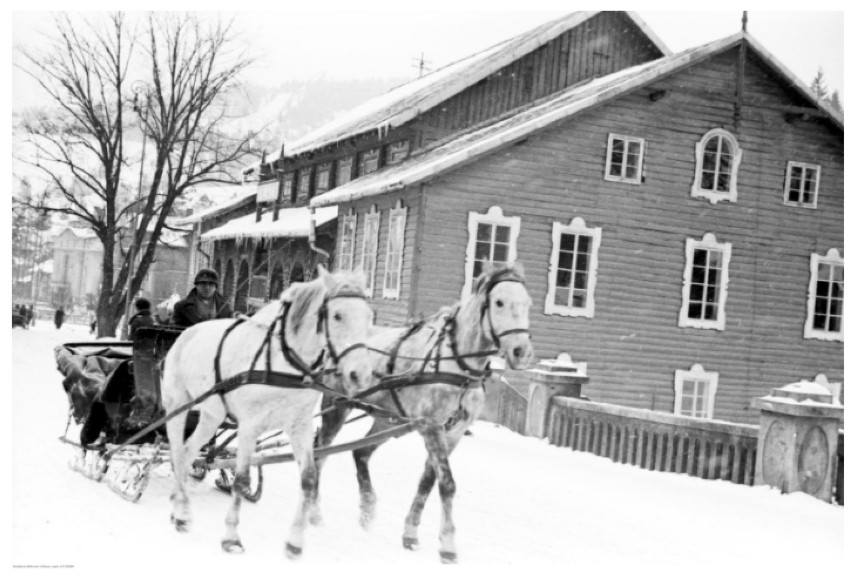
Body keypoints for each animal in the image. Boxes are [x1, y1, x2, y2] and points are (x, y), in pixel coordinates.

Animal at [162, 268, 372, 556]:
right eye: (337, 315)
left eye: (369, 315)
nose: (360, 374)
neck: (285, 362)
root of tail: (185, 334)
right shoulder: (249, 425)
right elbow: (241, 480)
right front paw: (231, 537)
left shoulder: (300, 426)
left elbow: (309, 479)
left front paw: (295, 541)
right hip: (177, 405)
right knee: (176, 451)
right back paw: (181, 510)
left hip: (211, 416)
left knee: (186, 453)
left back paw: (179, 509)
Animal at [316, 262, 536, 560]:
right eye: (499, 302)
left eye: (528, 303)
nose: (521, 351)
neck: (458, 366)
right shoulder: (432, 427)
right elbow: (447, 483)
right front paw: (448, 544)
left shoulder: (453, 433)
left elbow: (428, 482)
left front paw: (410, 533)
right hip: (335, 407)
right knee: (318, 452)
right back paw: (313, 510)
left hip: (387, 421)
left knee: (360, 453)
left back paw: (367, 510)